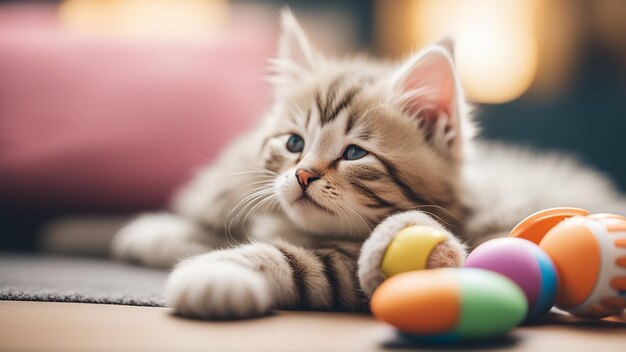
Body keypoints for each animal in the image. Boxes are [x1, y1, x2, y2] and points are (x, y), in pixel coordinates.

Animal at [111, 10, 624, 320]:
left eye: (354, 154)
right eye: (294, 143)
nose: (302, 175)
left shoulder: (342, 269)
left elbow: (289, 259)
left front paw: (212, 277)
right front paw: (156, 232)